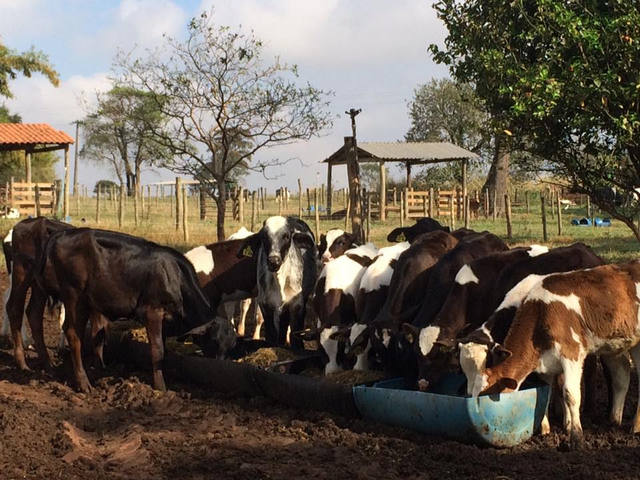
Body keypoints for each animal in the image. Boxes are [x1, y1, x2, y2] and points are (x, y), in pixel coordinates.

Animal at [31, 227, 220, 392]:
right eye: (214, 340)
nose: (219, 362)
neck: (174, 275)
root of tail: (62, 233)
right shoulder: (152, 311)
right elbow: (157, 349)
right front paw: (161, 387)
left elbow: (163, 350)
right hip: (75, 297)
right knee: (72, 333)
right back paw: (84, 384)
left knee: (94, 334)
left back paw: (99, 371)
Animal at [238, 217, 318, 348]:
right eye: (264, 236)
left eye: (286, 236)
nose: (273, 261)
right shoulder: (266, 305)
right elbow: (271, 336)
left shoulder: (297, 305)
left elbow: (296, 337)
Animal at [472, 260, 640, 448]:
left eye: (486, 394)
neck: (542, 313)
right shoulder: (545, 364)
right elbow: (546, 393)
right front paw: (545, 432)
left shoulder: (572, 353)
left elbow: (570, 394)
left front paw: (576, 437)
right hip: (617, 344)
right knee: (622, 375)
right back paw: (614, 422)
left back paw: (635, 427)